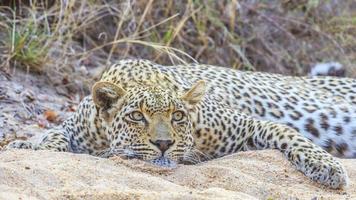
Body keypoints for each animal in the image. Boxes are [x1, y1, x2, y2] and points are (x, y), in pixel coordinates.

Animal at [3, 59, 354, 189]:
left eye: (178, 116)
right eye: (137, 116)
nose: (163, 144)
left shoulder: (247, 125)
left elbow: (290, 134)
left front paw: (328, 168)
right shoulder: (76, 127)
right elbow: (55, 137)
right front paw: (28, 144)